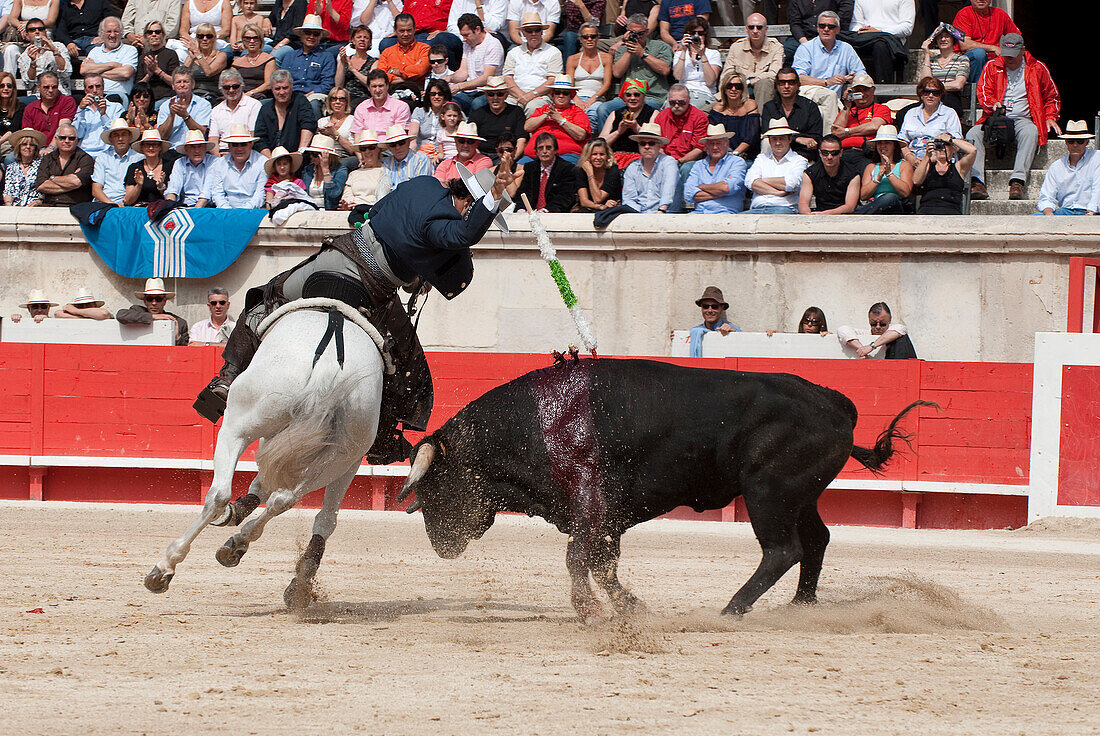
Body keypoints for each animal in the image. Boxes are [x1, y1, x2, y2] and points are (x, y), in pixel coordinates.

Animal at [144, 299, 387, 607]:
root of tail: (327, 371)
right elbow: (270, 489)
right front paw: (238, 524)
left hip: (238, 427)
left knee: (219, 495)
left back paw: (166, 567)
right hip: (340, 457)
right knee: (288, 501)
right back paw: (242, 550)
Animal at [400, 358, 932, 616]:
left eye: (431, 490)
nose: (440, 546)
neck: (537, 426)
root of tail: (835, 403)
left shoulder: (592, 506)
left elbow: (578, 559)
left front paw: (589, 611)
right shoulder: (606, 519)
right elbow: (603, 564)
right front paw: (630, 607)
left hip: (768, 492)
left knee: (783, 550)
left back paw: (732, 609)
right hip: (801, 496)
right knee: (816, 540)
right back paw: (801, 606)